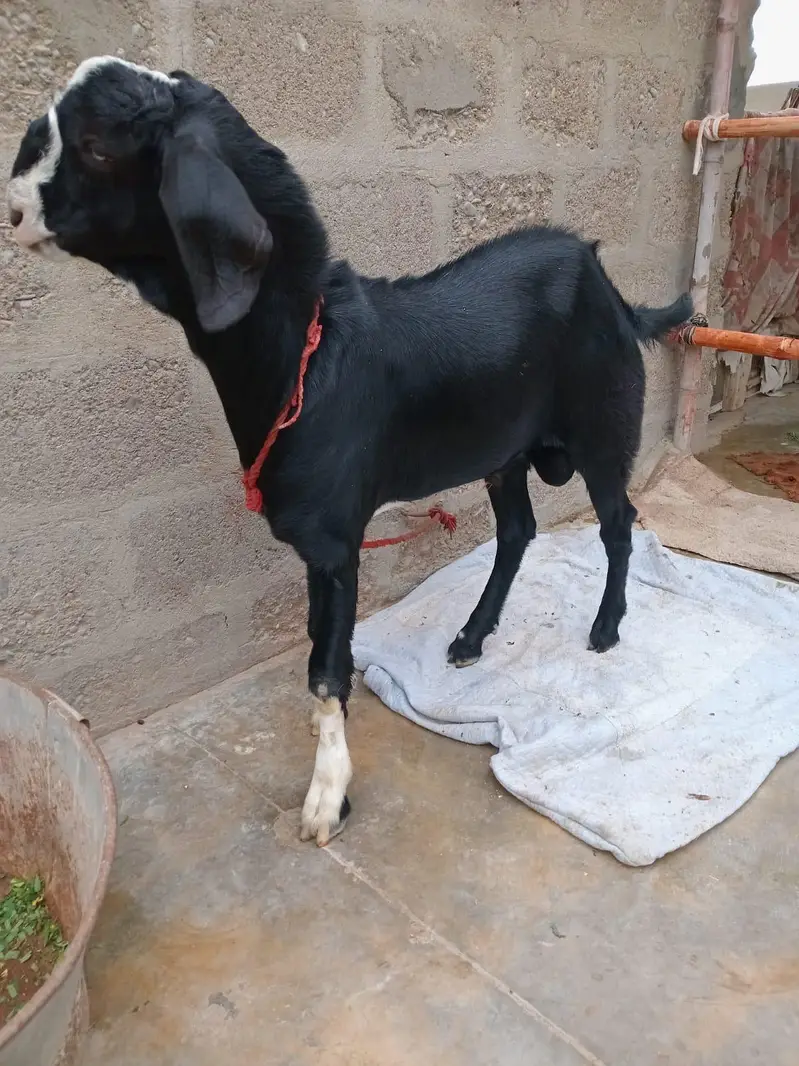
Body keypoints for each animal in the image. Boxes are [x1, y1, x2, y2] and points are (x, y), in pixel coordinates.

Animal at [7, 58, 692, 846]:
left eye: (95, 145)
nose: (15, 207)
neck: (306, 355)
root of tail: (612, 289)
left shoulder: (335, 540)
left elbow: (328, 666)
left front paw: (326, 796)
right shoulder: (318, 545)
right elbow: (316, 649)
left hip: (605, 428)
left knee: (617, 522)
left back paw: (605, 628)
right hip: (502, 451)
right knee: (518, 530)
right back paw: (470, 636)